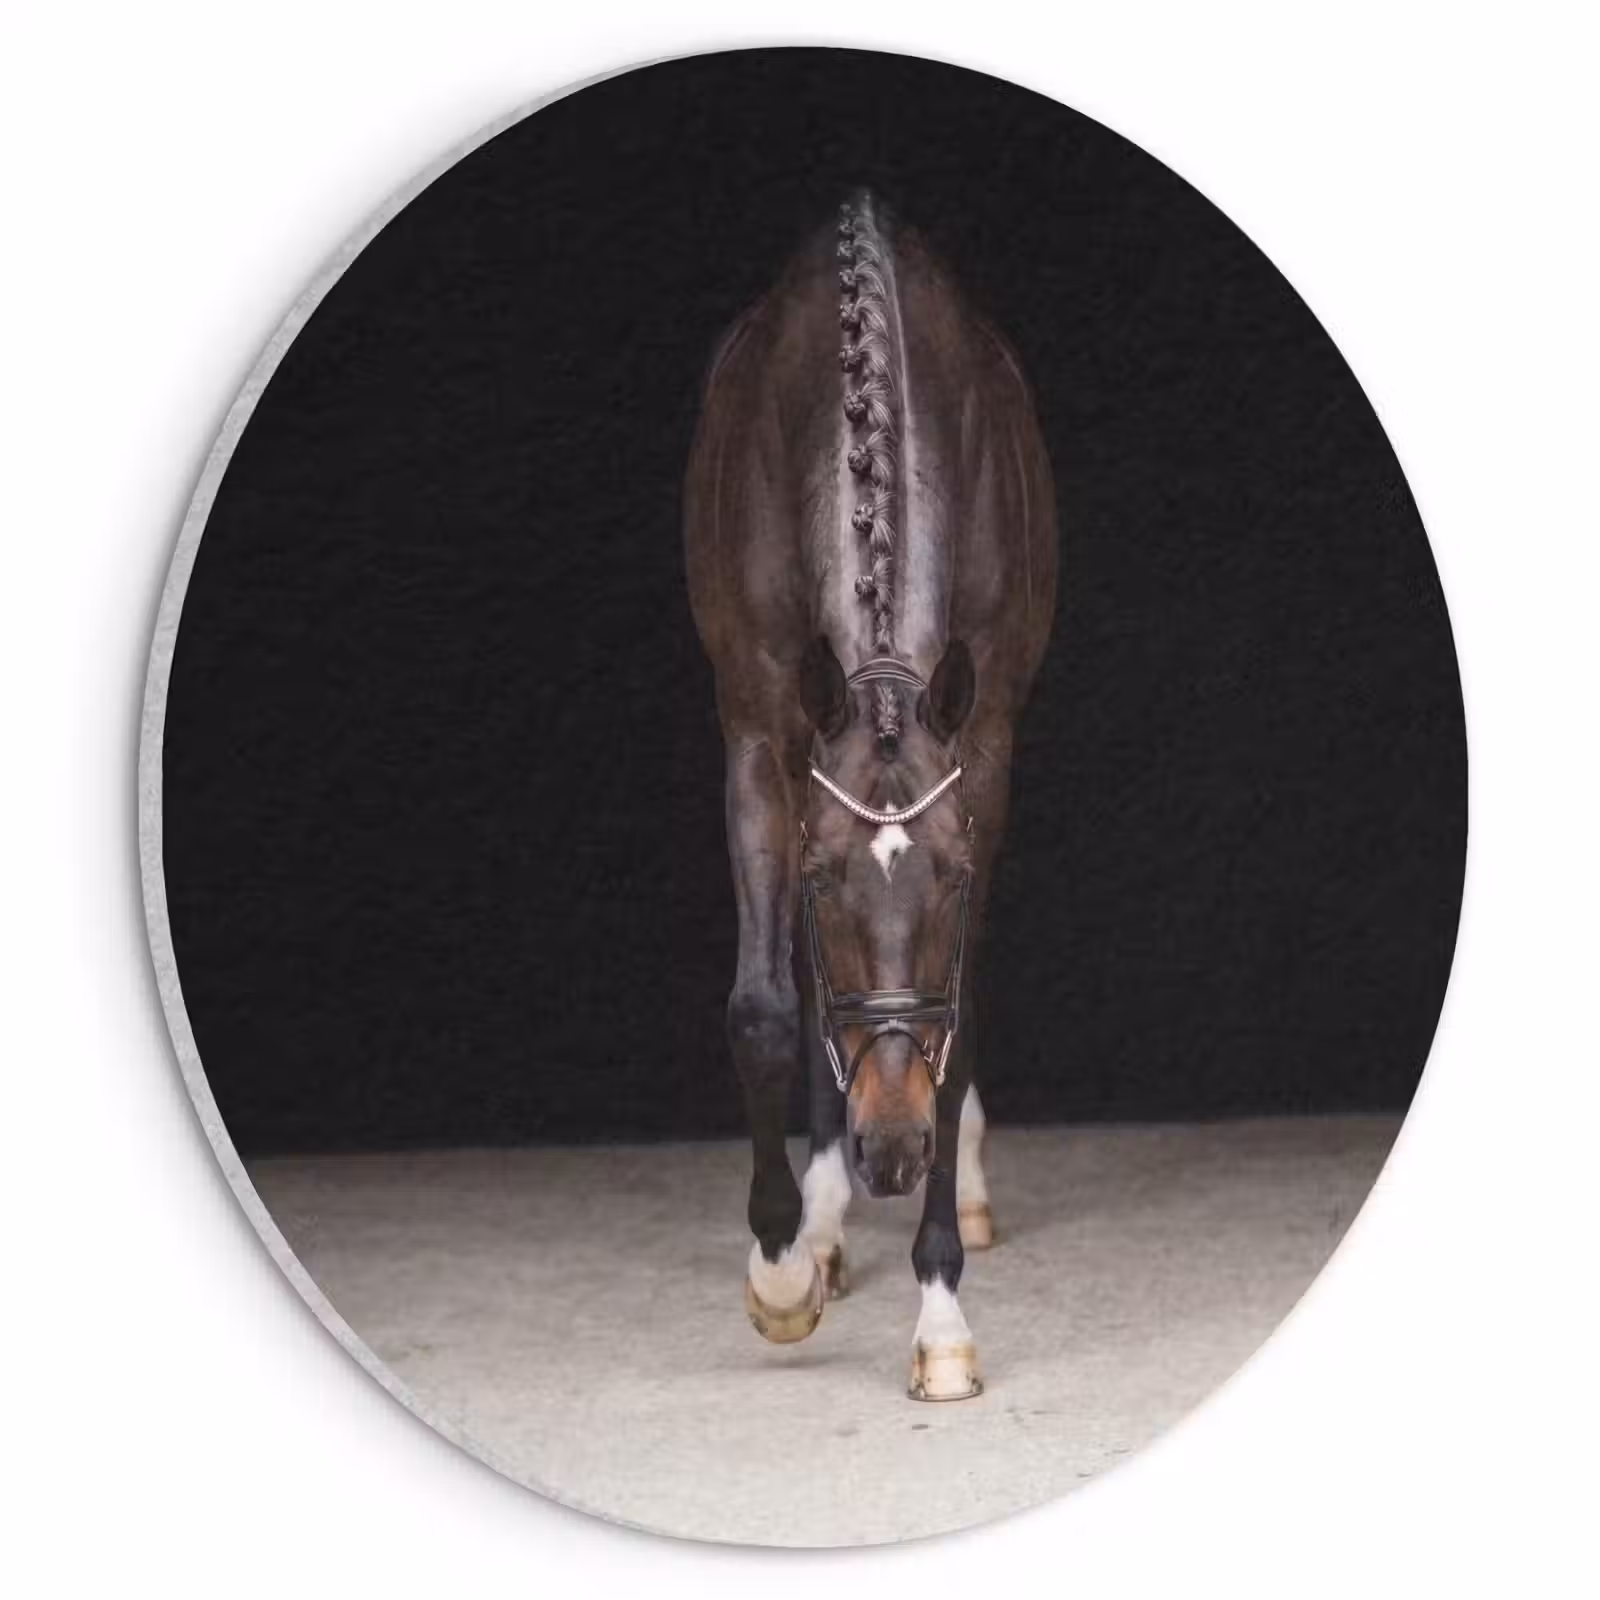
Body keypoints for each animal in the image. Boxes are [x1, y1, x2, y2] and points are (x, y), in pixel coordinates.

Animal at [684, 193, 1058, 1400]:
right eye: (820, 877)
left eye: (950, 876)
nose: (891, 1150)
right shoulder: (761, 733)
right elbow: (765, 1008)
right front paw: (782, 1269)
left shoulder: (984, 749)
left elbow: (958, 1021)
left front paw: (940, 1316)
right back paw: (823, 1220)